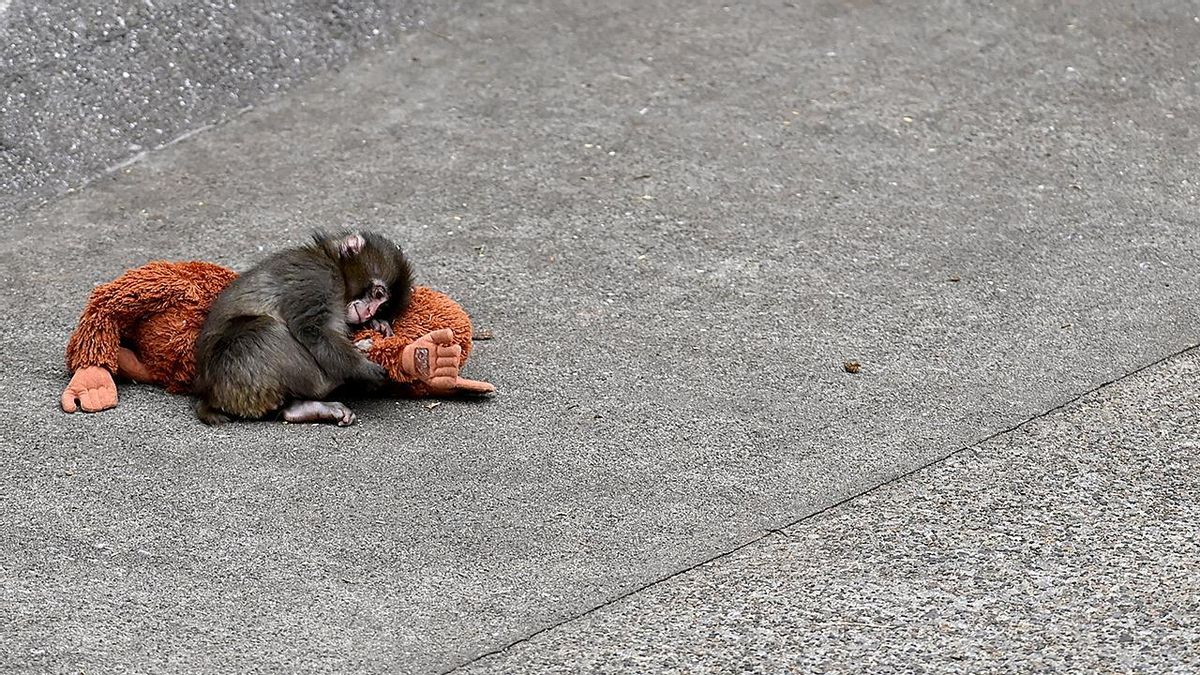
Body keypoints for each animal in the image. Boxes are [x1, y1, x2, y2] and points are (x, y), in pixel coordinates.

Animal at [192, 230, 413, 426]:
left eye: (382, 307)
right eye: (378, 294)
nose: (369, 313)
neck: (332, 262)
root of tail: (208, 395)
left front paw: (377, 324)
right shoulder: (318, 277)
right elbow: (312, 329)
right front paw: (363, 368)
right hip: (234, 371)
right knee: (265, 330)